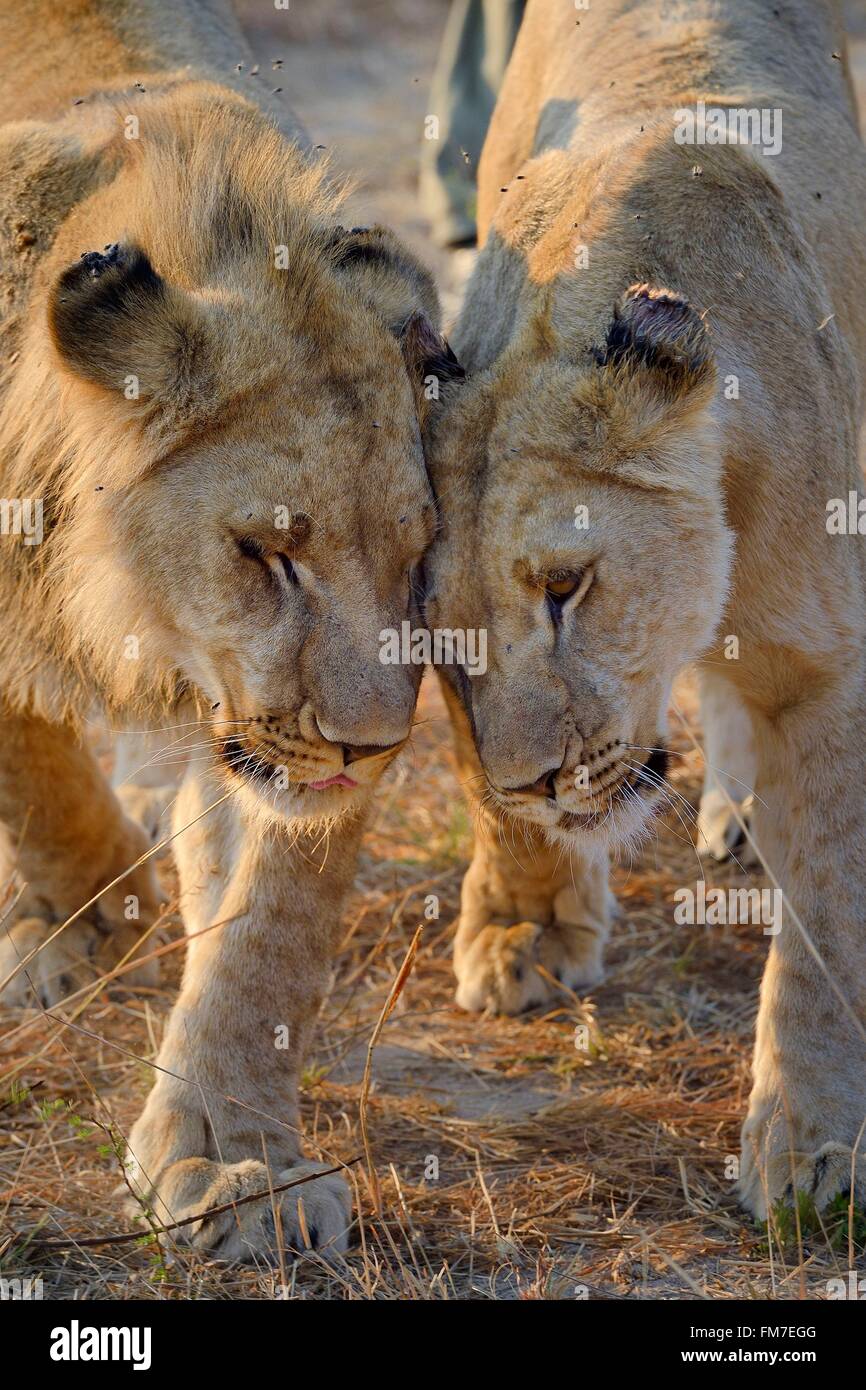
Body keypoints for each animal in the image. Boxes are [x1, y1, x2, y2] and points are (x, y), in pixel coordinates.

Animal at [0, 0, 458, 1262]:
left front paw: (229, 1160)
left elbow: (270, 938)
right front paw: (95, 911)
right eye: (265, 552)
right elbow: (32, 768)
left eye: (416, 555)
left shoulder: (275, 747)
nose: (372, 748)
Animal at [428, 0, 866, 1217]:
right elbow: (480, 790)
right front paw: (523, 927)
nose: (539, 777)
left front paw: (810, 1145)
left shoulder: (826, 664)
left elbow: (827, 907)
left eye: (564, 587)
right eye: (445, 635)